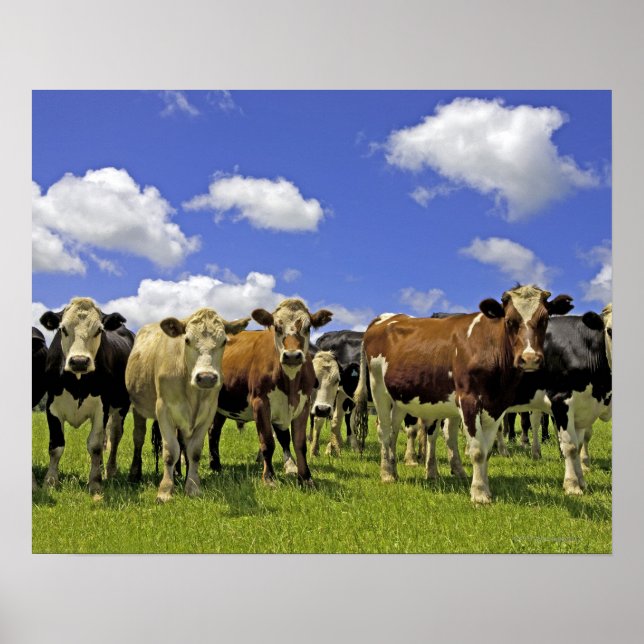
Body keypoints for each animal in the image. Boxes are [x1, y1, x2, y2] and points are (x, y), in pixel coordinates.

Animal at [39, 298, 134, 496]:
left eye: (98, 330)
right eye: (63, 329)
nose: (79, 361)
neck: (78, 384)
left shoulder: (102, 407)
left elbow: (95, 446)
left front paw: (95, 482)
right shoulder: (52, 406)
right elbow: (56, 446)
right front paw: (50, 482)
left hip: (121, 406)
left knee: (114, 437)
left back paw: (110, 471)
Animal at [125, 308, 249, 502]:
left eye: (224, 341)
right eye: (187, 340)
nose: (206, 377)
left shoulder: (207, 413)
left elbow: (194, 452)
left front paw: (192, 486)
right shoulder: (163, 410)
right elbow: (170, 452)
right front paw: (165, 490)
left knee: (182, 443)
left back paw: (178, 473)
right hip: (138, 408)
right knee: (138, 438)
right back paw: (135, 474)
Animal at [208, 298, 333, 486]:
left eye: (308, 326)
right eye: (277, 326)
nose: (292, 356)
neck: (290, 384)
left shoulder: (303, 405)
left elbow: (299, 443)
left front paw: (305, 477)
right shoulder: (261, 403)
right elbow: (267, 442)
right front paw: (269, 477)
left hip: (220, 408)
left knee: (214, 432)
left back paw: (215, 465)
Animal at [353, 285, 573, 503]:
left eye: (544, 319)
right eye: (510, 320)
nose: (529, 359)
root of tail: (385, 318)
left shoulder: (497, 405)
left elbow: (486, 449)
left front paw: (484, 487)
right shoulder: (468, 400)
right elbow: (477, 450)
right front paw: (479, 493)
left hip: (400, 397)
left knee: (393, 430)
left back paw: (394, 469)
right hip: (378, 388)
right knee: (383, 429)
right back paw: (387, 474)